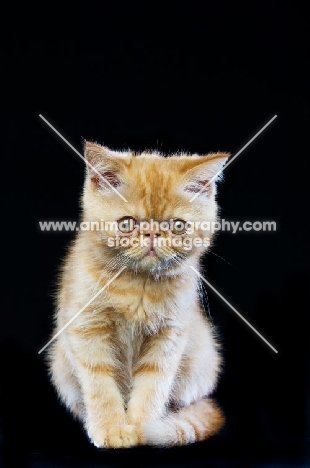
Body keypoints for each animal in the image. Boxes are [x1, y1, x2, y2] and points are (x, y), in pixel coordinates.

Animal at [47, 141, 228, 448]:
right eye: (127, 223)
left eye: (177, 225)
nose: (153, 234)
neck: (137, 285)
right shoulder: (86, 328)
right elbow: (99, 383)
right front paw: (112, 428)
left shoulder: (169, 335)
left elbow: (153, 385)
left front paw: (143, 427)